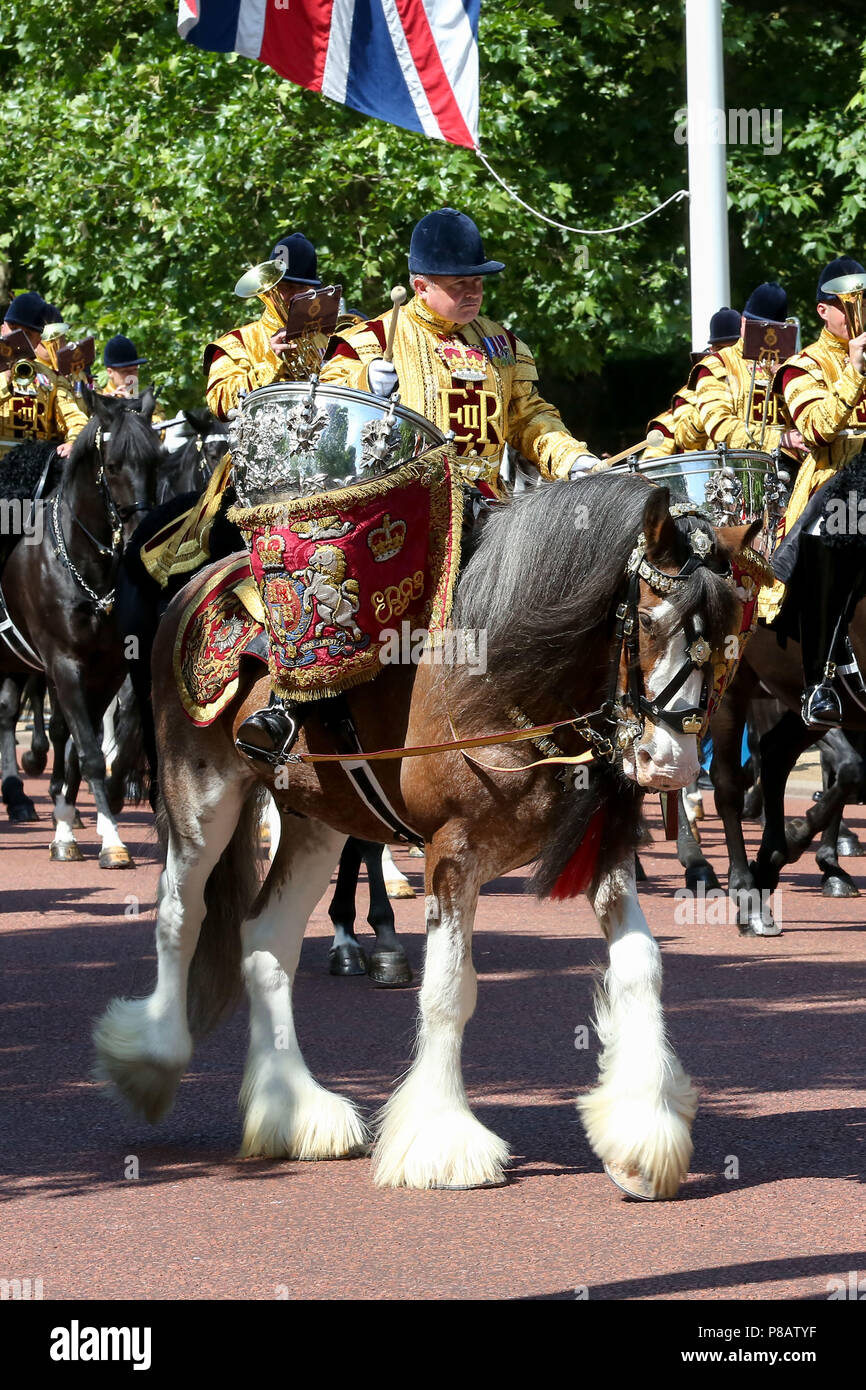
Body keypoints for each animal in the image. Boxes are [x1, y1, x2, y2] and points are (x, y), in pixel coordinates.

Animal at [0, 391, 161, 861]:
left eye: (156, 461)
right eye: (113, 465)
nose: (140, 533)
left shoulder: (106, 668)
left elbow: (75, 745)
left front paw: (67, 830)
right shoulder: (64, 662)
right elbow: (88, 750)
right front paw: (111, 841)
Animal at [93, 378, 756, 1195]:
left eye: (727, 639)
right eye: (652, 622)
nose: (671, 764)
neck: (507, 674)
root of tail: (199, 582)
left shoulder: (604, 855)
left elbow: (642, 967)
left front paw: (643, 1136)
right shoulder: (453, 852)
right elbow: (448, 992)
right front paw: (443, 1142)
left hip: (319, 821)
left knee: (264, 943)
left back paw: (295, 1113)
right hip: (201, 799)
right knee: (177, 919)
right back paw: (151, 1059)